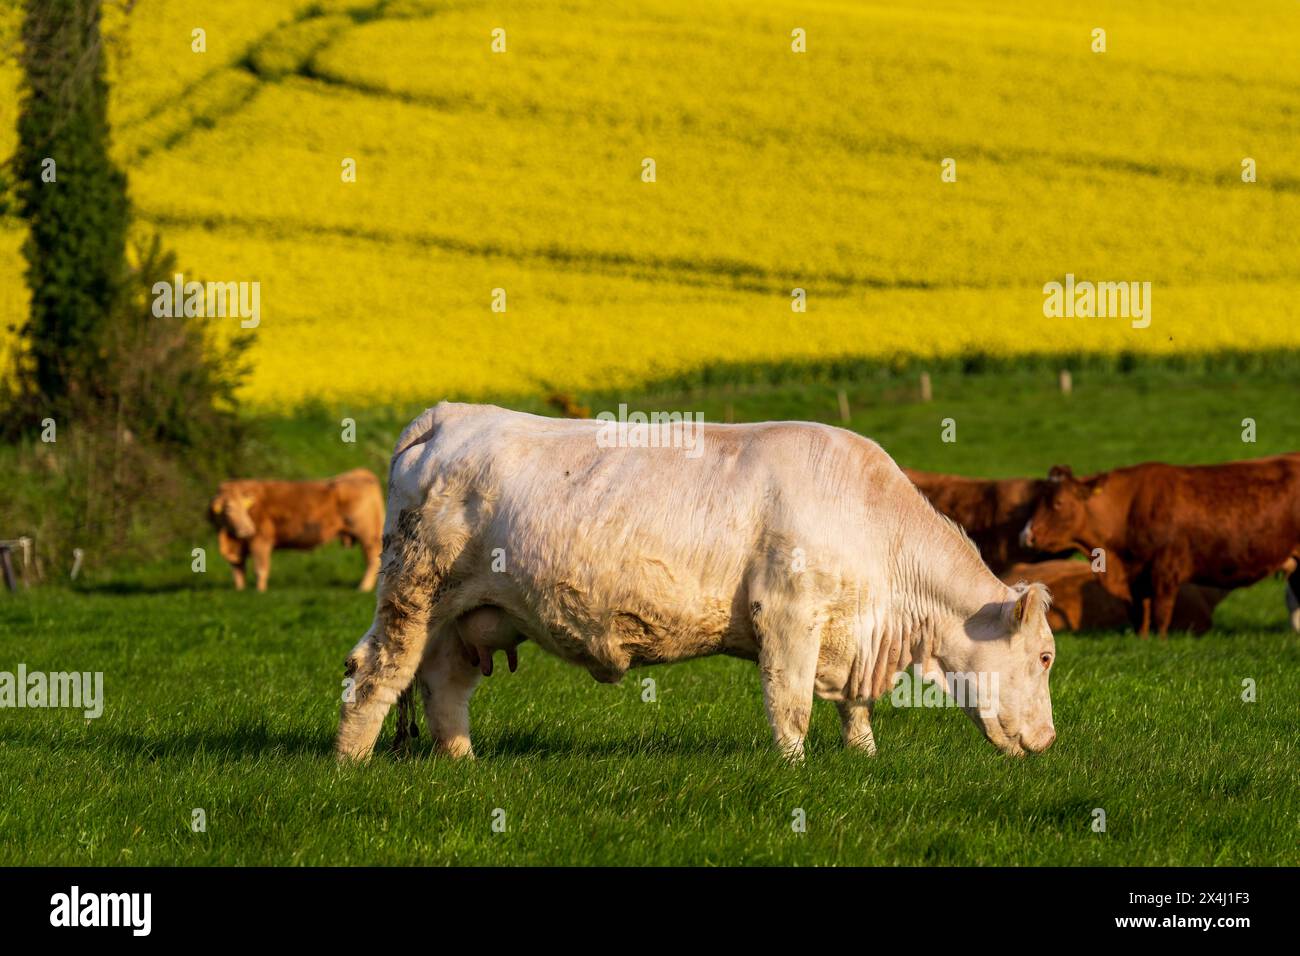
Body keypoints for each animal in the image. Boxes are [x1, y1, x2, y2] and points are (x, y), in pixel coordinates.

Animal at [205, 468, 382, 595]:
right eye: (229, 509)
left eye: (245, 508)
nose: (248, 530)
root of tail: (361, 473)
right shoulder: (238, 547)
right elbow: (238, 571)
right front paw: (240, 590)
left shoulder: (260, 542)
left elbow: (260, 569)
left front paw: (259, 591)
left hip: (368, 535)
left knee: (372, 560)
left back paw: (363, 587)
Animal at [1024, 457, 1300, 639]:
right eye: (1038, 501)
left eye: (1058, 503)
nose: (1027, 535)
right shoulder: (1135, 578)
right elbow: (1139, 614)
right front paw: (1142, 639)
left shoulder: (1166, 571)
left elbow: (1160, 611)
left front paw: (1161, 641)